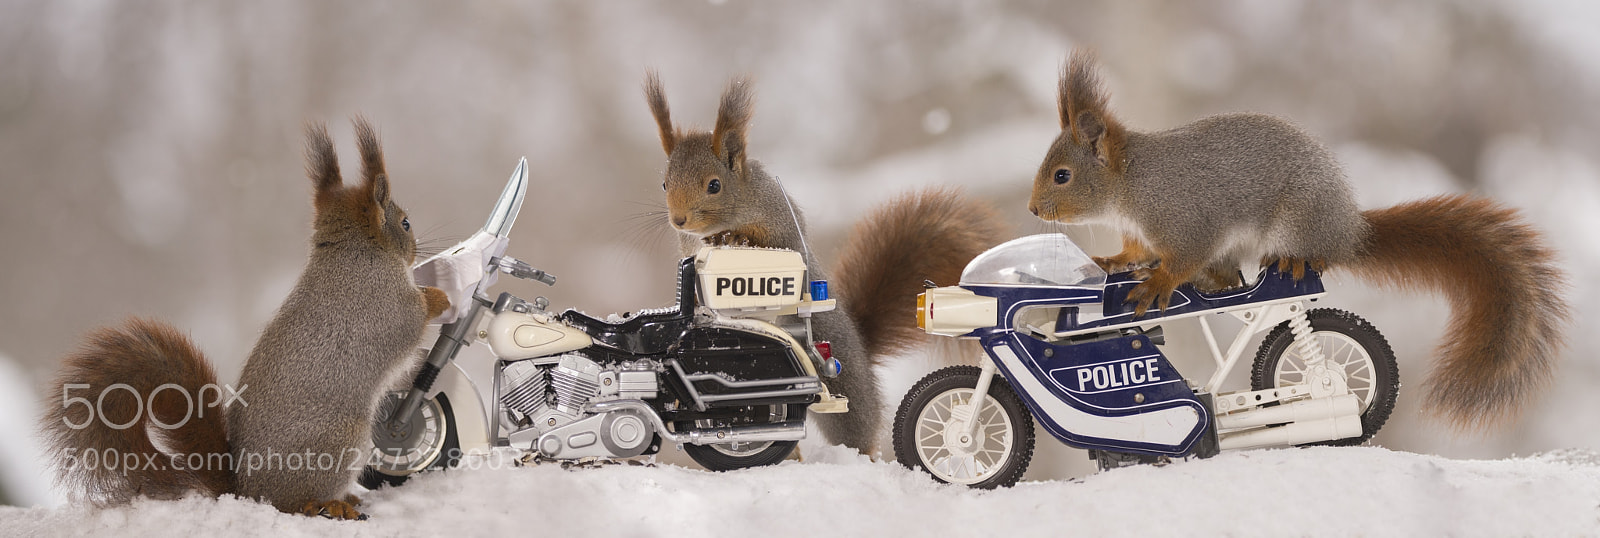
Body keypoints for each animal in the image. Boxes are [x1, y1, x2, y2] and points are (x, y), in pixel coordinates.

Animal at [40, 118, 450, 519]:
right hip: (343, 440)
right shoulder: (386, 302)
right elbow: (412, 320)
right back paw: (328, 503)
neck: (354, 252)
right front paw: (440, 297)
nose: (416, 252)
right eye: (406, 223)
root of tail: (246, 490)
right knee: (291, 502)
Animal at [644, 72, 1006, 455]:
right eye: (664, 183)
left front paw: (738, 240)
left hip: (840, 380)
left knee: (852, 426)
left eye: (714, 185)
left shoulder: (783, 220)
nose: (679, 220)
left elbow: (777, 244)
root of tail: (862, 351)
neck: (742, 201)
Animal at [1027, 50, 1569, 429]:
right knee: (1232, 275)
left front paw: (1157, 284)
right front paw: (1111, 261)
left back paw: (1287, 263)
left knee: (1305, 259)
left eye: (1061, 176)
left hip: (1297, 222)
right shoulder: (1143, 234)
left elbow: (1181, 259)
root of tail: (1349, 230)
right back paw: (1221, 282)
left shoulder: (1185, 219)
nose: (1032, 210)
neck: (1131, 186)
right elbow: (1136, 253)